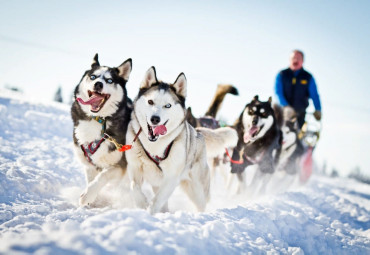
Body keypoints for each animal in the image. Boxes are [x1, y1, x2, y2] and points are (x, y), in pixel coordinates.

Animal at [70, 53, 132, 205]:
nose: (98, 84)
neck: (98, 119)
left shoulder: (119, 165)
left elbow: (102, 178)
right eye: (93, 77)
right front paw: (92, 200)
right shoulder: (89, 164)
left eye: (109, 80)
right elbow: (91, 180)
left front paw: (88, 196)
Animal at [126, 66, 237, 213]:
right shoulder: (135, 168)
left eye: (168, 105)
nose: (155, 119)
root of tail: (197, 131)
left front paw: (149, 212)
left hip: (197, 190)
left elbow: (156, 200)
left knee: (201, 204)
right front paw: (142, 204)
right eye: (150, 101)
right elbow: (134, 187)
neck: (155, 146)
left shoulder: (171, 178)